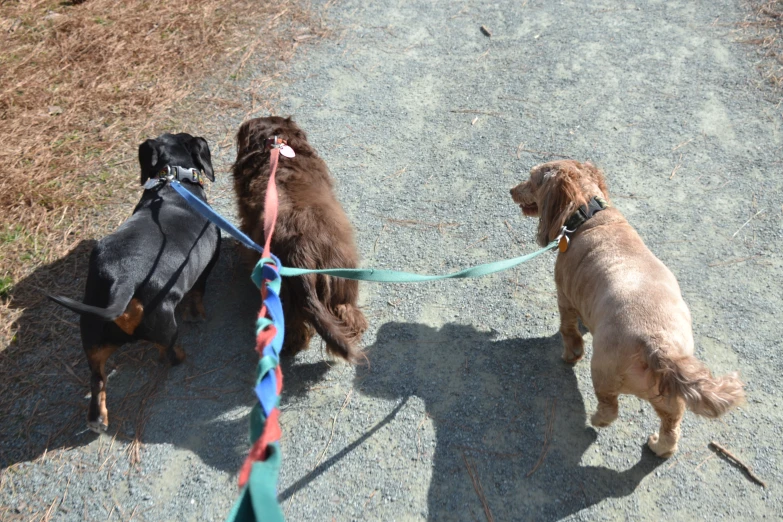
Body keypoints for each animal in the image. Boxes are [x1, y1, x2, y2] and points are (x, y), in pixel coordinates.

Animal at [49, 133, 220, 430]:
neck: (173, 183)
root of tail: (123, 281)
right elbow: (199, 292)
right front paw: (197, 314)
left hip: (92, 337)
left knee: (97, 379)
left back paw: (98, 419)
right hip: (166, 327)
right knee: (168, 352)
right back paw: (179, 356)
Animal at [512, 158, 744, 456]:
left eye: (531, 179)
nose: (511, 190)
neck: (589, 215)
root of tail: (658, 346)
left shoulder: (564, 296)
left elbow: (568, 331)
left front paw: (570, 354)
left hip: (604, 373)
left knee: (610, 408)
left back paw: (597, 420)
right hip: (669, 398)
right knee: (672, 427)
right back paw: (659, 447)